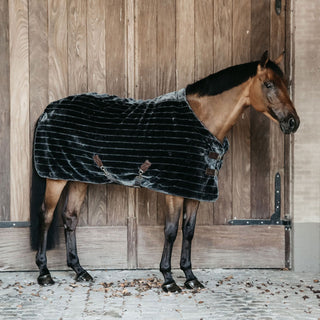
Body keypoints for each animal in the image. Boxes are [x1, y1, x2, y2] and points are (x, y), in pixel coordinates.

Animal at [30, 50, 300, 292]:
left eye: (285, 84)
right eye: (268, 84)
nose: (293, 122)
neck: (202, 120)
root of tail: (47, 110)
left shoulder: (195, 190)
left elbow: (188, 232)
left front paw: (190, 277)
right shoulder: (174, 190)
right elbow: (170, 231)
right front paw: (169, 279)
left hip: (78, 178)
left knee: (69, 217)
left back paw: (79, 270)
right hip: (55, 178)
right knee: (46, 216)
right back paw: (44, 273)